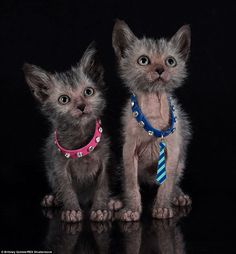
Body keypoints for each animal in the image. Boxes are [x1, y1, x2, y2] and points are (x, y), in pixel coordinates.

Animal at [112, 19, 192, 220]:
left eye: (170, 61)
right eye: (143, 60)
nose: (160, 70)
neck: (153, 113)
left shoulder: (173, 152)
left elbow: (167, 183)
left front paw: (162, 206)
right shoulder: (128, 151)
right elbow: (131, 184)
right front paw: (132, 209)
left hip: (181, 162)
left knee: (174, 181)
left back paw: (177, 195)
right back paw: (117, 199)